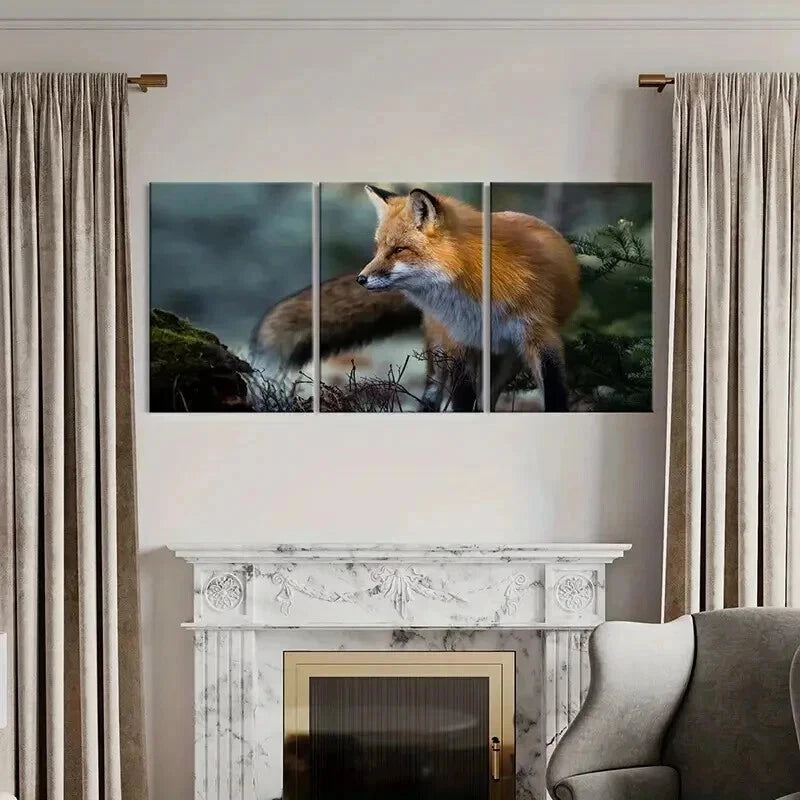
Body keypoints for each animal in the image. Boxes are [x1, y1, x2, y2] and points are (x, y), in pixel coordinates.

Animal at [251, 186, 580, 411]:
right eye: (378, 249)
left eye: (398, 250)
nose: (361, 279)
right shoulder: (461, 342)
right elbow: (462, 399)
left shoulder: (540, 335)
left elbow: (554, 390)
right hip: (441, 350)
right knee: (434, 392)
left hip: (505, 359)